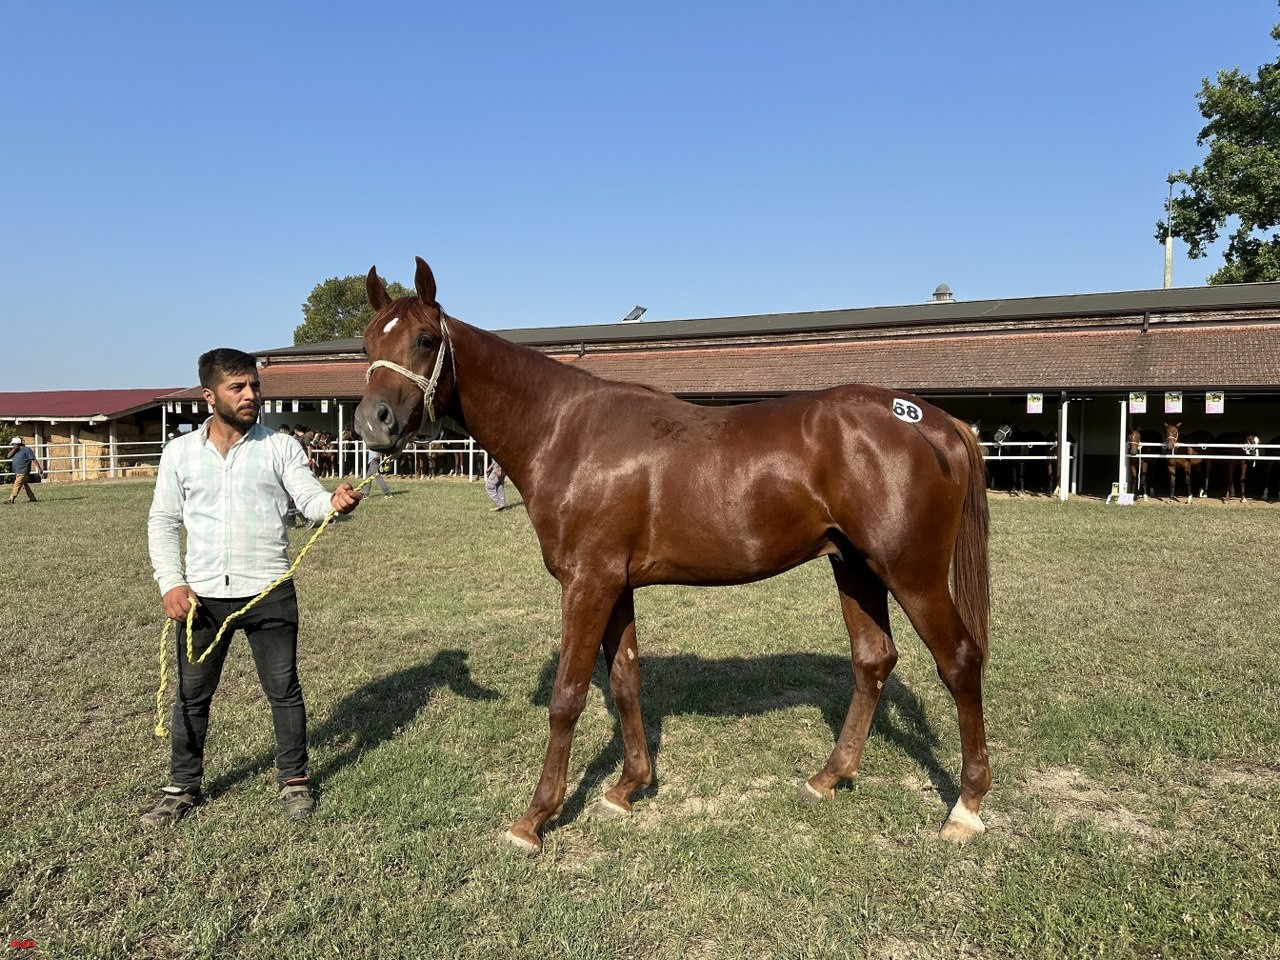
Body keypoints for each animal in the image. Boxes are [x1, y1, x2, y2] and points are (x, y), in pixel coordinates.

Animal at [355, 257, 993, 855]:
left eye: (424, 339)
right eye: (366, 342)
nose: (372, 423)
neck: (567, 432)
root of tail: (936, 420)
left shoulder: (586, 583)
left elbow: (567, 697)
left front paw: (534, 818)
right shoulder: (615, 584)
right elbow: (624, 681)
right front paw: (627, 787)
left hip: (911, 574)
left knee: (960, 661)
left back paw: (965, 807)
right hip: (856, 568)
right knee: (873, 661)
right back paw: (828, 778)